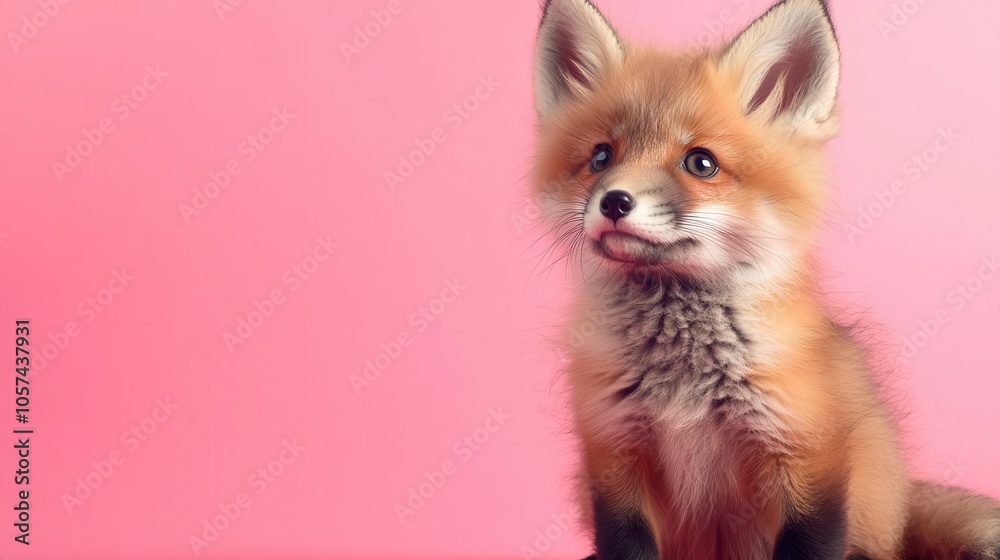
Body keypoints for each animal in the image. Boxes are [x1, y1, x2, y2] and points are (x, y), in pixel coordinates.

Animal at [528, 0, 1000, 558]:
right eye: (601, 156)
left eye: (701, 163)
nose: (614, 201)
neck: (685, 381)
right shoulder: (614, 458)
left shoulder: (808, 461)